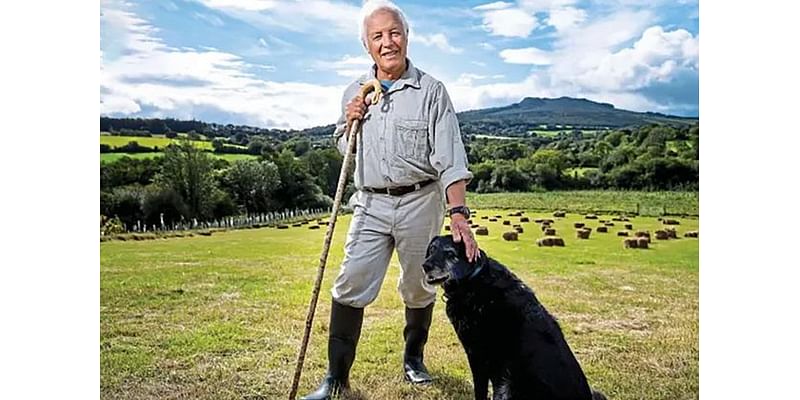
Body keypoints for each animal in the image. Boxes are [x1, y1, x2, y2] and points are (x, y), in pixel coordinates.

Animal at [422, 234, 604, 400]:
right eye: (432, 249)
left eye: (450, 253)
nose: (425, 266)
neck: (474, 279)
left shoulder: (478, 354)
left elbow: (480, 391)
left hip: (507, 386)